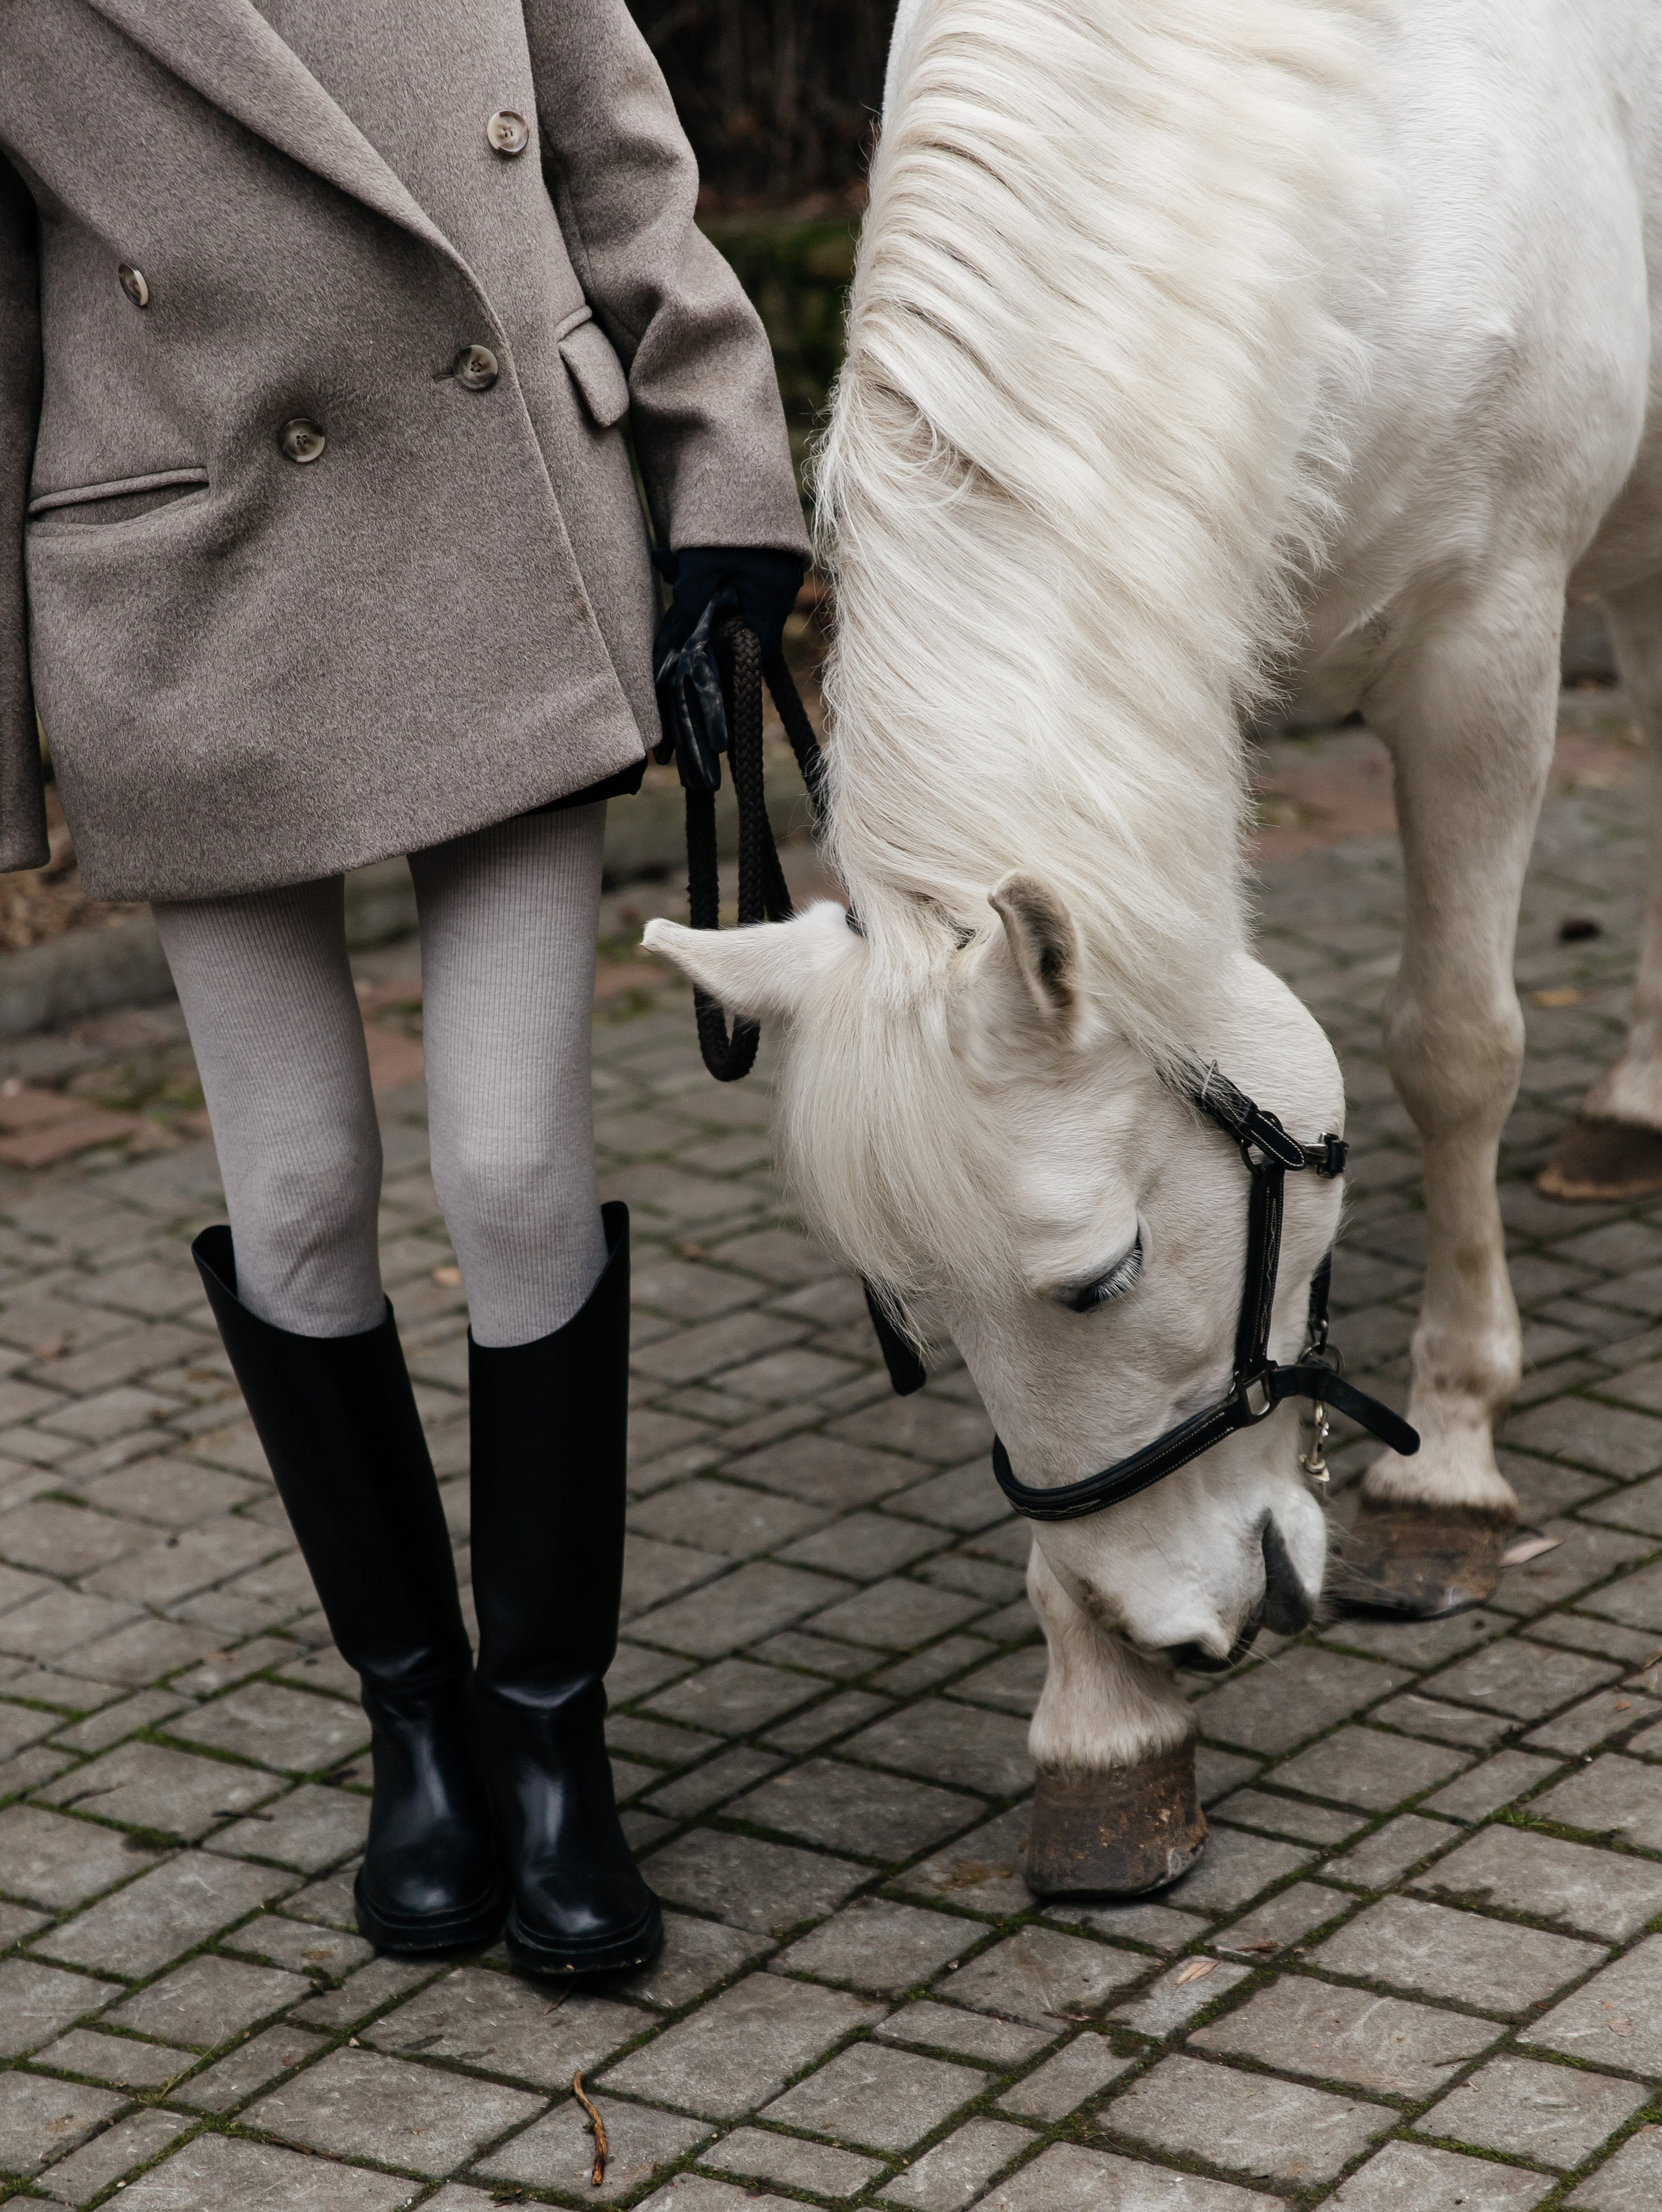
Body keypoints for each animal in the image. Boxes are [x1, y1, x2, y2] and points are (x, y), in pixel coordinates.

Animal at [646, 0, 1662, 1894]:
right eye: (924, 1308)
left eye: (1101, 1272)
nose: (1178, 1628)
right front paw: (1103, 1715)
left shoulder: (1484, 634)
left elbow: (1454, 1045)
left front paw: (1449, 1456)